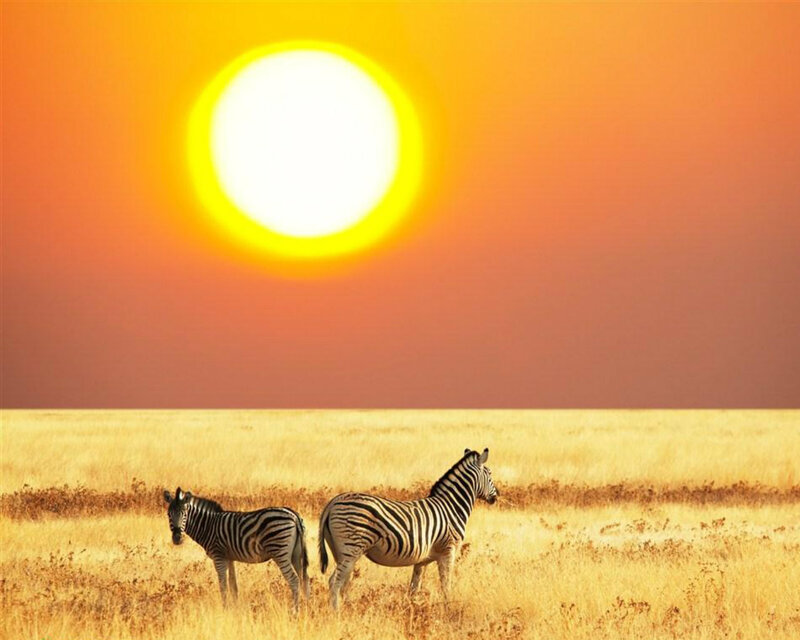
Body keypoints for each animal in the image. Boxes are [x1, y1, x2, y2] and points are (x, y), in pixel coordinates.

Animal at [163, 487, 309, 610]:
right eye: (169, 514)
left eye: (184, 514)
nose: (177, 538)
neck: (208, 526)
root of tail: (294, 515)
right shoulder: (230, 557)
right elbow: (233, 586)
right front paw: (235, 608)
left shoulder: (218, 556)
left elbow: (223, 585)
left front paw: (225, 609)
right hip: (296, 554)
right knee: (304, 579)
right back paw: (308, 607)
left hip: (280, 551)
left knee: (294, 580)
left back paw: (295, 611)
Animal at [318, 448, 498, 609]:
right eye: (489, 474)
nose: (497, 496)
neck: (451, 507)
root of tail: (333, 502)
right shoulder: (448, 550)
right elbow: (446, 585)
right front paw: (448, 609)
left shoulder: (422, 559)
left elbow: (414, 588)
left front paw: (413, 610)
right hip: (351, 549)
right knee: (335, 582)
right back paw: (336, 613)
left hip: (341, 551)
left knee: (343, 582)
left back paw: (349, 609)